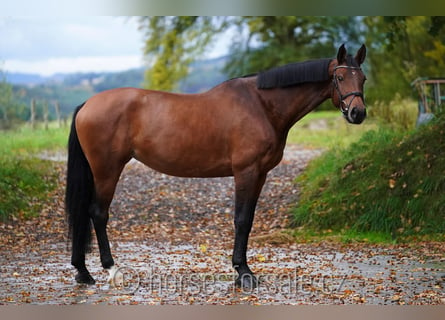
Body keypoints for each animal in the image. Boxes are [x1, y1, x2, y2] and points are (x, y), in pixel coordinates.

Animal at [65, 44, 364, 288]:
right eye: (339, 78)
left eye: (362, 78)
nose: (358, 113)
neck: (261, 105)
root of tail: (87, 104)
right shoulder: (246, 172)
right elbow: (242, 220)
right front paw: (244, 273)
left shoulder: (260, 174)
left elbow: (249, 220)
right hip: (107, 170)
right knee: (98, 213)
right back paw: (111, 270)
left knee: (84, 212)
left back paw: (83, 272)